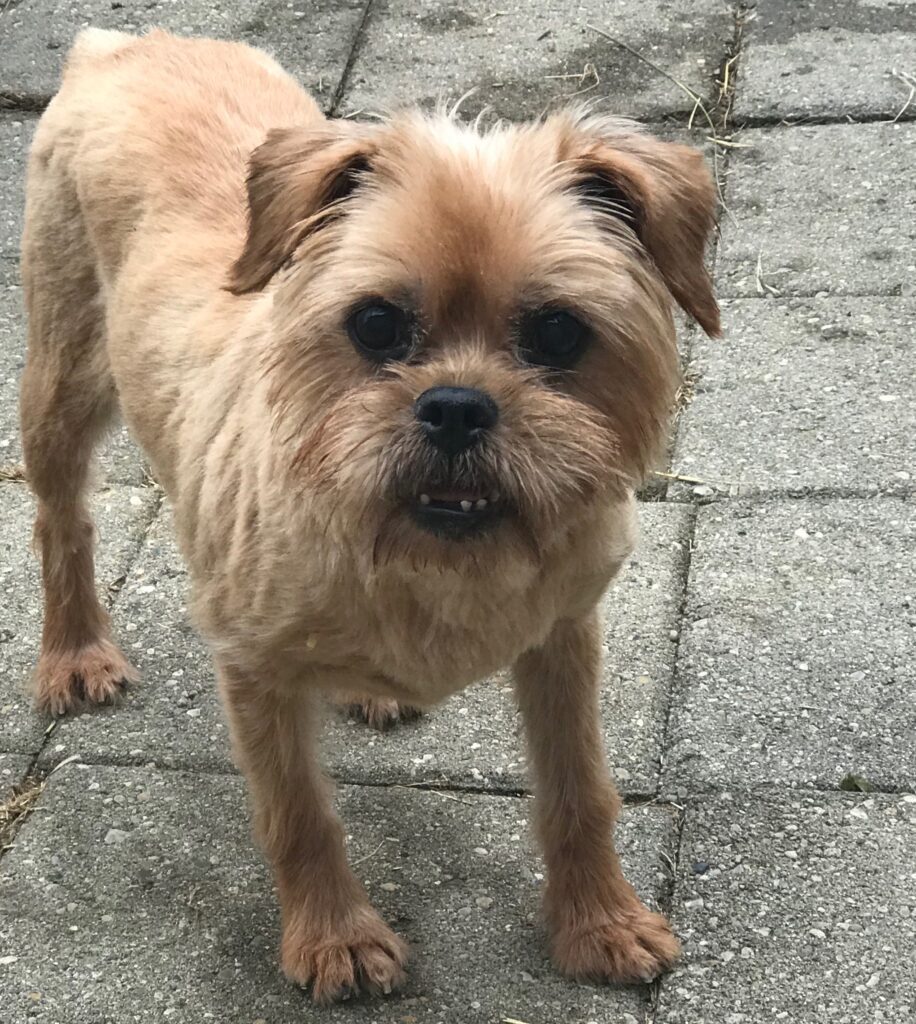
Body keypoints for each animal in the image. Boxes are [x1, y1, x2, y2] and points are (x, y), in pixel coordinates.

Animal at [21, 28, 720, 1003]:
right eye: (376, 324)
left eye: (558, 332)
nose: (457, 406)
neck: (424, 556)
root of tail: (129, 42)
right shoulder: (255, 671)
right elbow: (299, 815)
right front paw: (335, 938)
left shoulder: (563, 638)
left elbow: (580, 789)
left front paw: (599, 922)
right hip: (62, 382)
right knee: (62, 521)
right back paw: (76, 652)